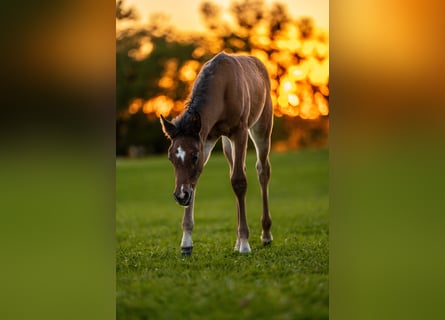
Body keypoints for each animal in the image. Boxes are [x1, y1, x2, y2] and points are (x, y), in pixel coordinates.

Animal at [160, 52, 270, 255]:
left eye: (194, 156)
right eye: (171, 157)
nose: (180, 196)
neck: (222, 87)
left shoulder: (240, 132)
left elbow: (239, 181)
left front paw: (245, 244)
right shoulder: (206, 138)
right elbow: (194, 182)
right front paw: (186, 243)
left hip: (262, 126)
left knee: (262, 170)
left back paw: (266, 235)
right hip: (227, 143)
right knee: (236, 168)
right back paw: (237, 241)